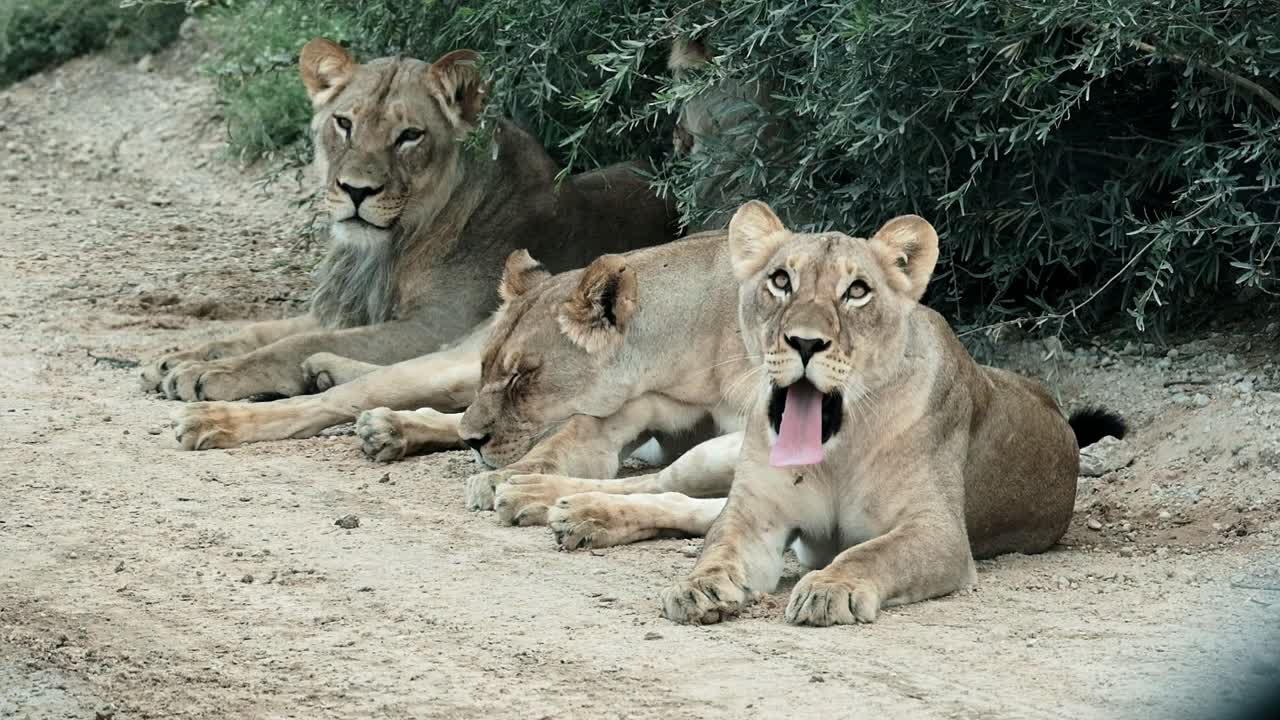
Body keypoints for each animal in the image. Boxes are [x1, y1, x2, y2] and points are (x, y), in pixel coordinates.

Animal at [149, 38, 676, 451]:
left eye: (409, 136)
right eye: (344, 123)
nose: (356, 191)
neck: (392, 247)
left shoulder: (434, 324)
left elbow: (296, 340)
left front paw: (209, 373)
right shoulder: (359, 310)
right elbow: (264, 331)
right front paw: (180, 358)